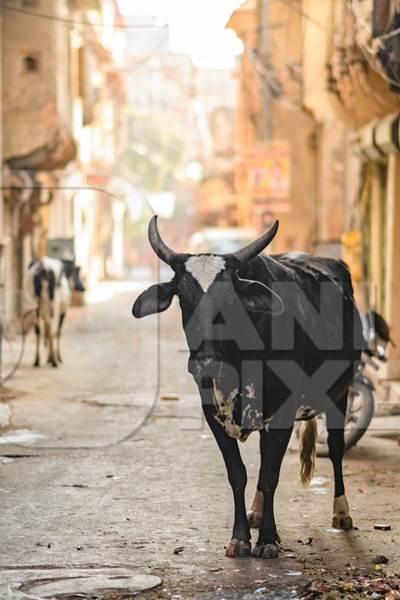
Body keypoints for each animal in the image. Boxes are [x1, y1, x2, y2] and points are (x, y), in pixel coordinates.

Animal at [132, 218, 362, 560]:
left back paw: (342, 512)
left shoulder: (282, 415)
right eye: (183, 299)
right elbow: (238, 473)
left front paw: (267, 540)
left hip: (340, 392)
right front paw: (241, 538)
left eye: (230, 301)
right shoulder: (213, 414)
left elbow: (270, 474)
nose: (206, 363)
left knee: (335, 448)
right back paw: (256, 511)